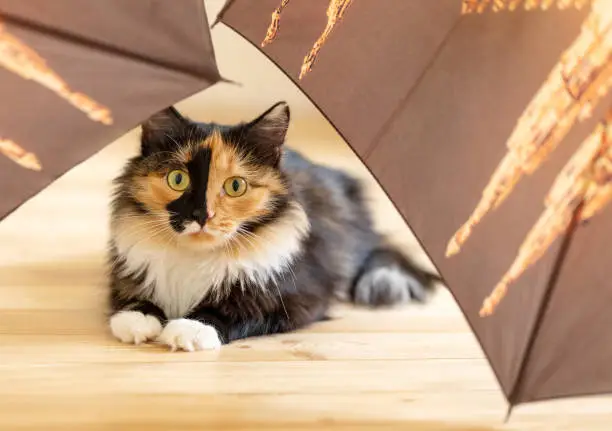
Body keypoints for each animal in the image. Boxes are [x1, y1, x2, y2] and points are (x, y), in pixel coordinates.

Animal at [106, 103, 440, 352]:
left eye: (236, 186)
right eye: (178, 179)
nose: (202, 215)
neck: (195, 257)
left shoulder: (296, 297)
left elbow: (237, 310)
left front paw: (189, 328)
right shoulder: (129, 272)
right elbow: (131, 298)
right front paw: (138, 319)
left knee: (383, 249)